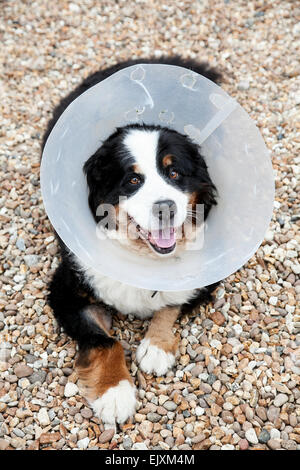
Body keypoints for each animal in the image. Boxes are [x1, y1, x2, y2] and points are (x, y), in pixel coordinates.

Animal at [41, 57, 220, 428]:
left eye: (175, 173)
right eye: (133, 180)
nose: (165, 208)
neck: (141, 261)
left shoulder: (208, 277)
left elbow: (171, 303)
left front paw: (157, 346)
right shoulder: (66, 290)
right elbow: (104, 341)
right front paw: (115, 393)